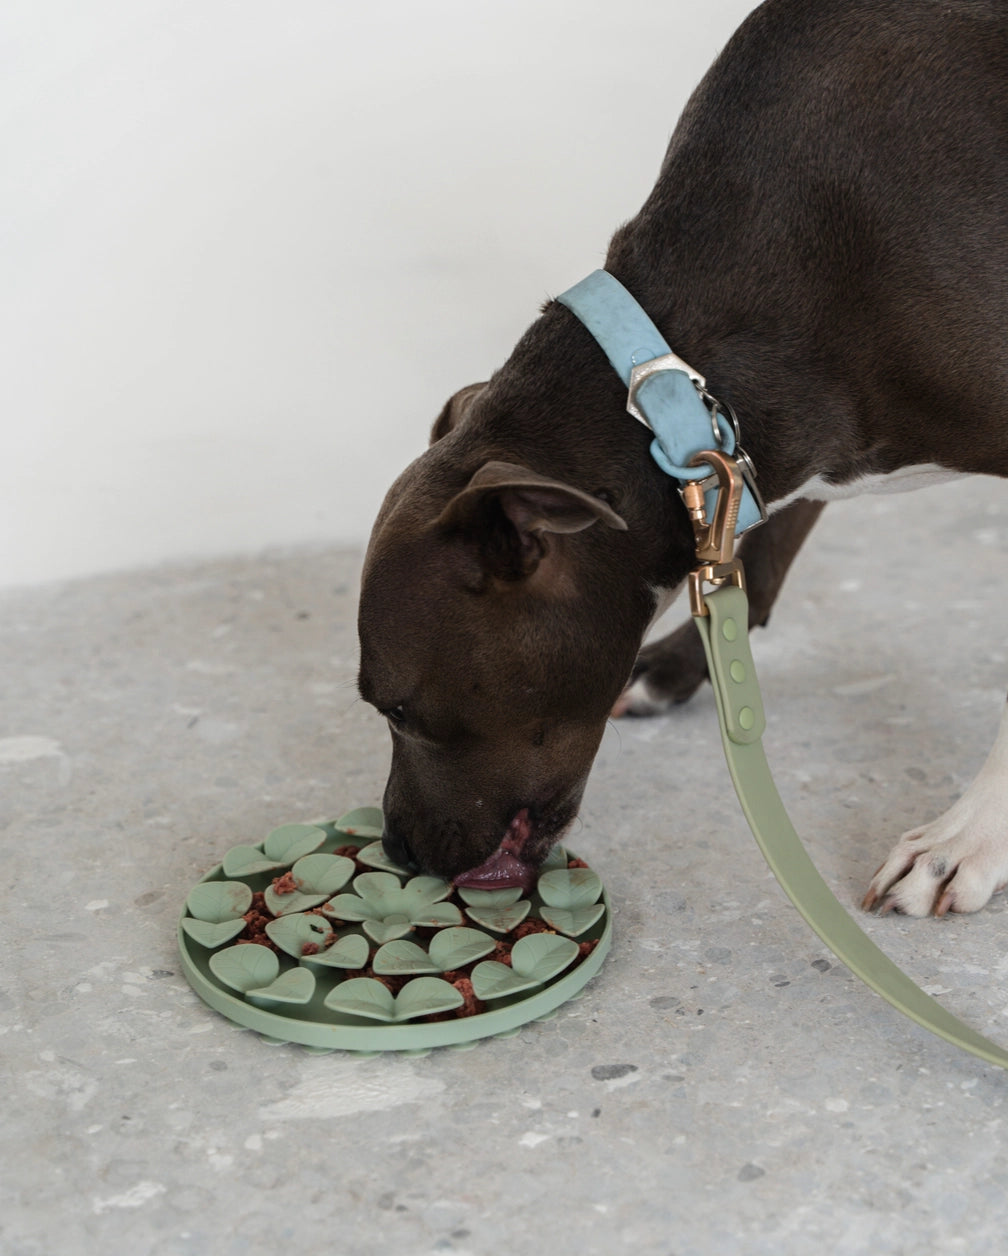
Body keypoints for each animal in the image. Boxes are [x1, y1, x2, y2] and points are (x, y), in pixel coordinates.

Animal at [356, 2, 1008, 924]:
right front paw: (677, 667)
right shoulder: (767, 431)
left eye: (400, 708)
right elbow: (760, 543)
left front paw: (967, 838)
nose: (398, 850)